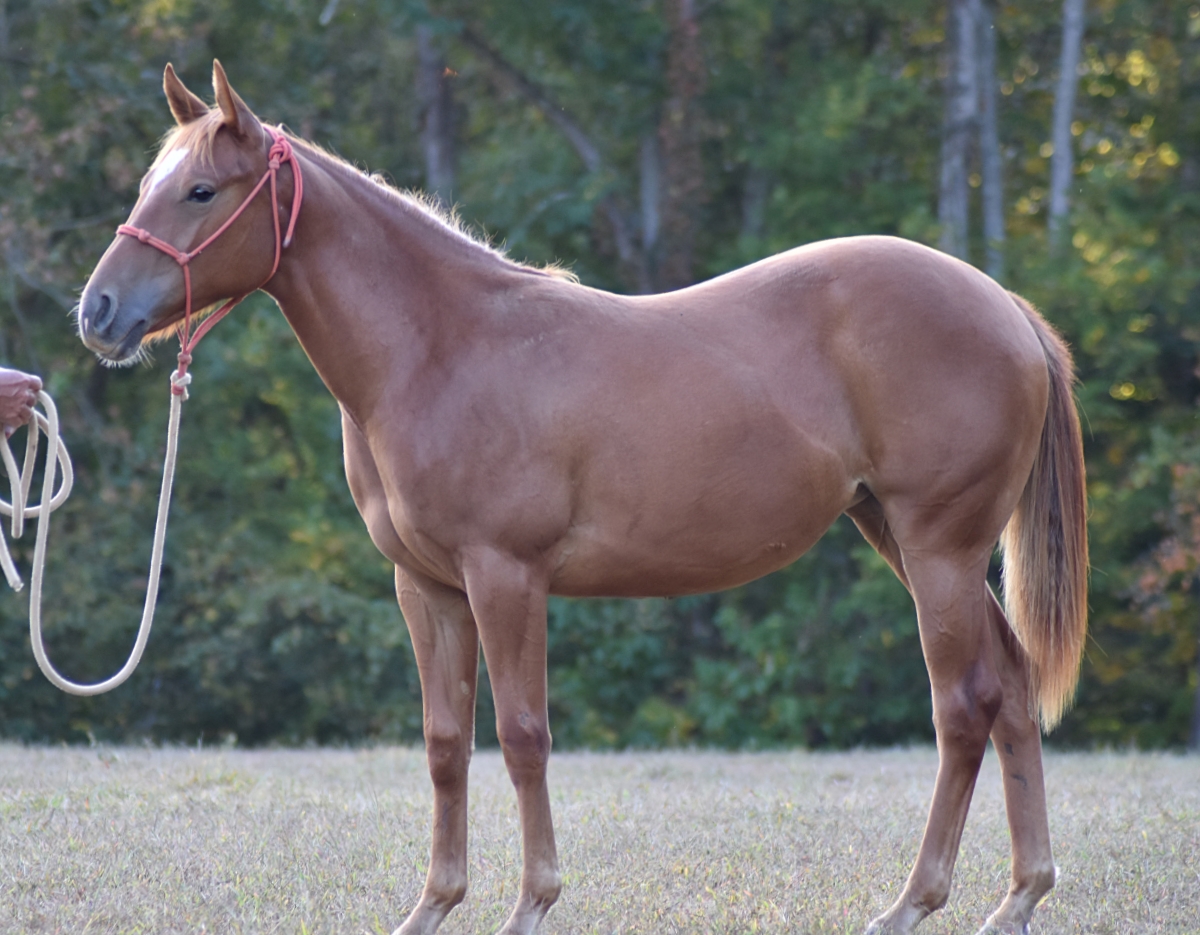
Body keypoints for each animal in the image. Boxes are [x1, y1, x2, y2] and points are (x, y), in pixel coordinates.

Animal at [76, 62, 1087, 935]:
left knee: (963, 705)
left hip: (938, 547)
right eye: (149, 182)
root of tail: (1004, 306)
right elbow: (446, 743)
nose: (98, 311)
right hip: (905, 537)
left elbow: (522, 735)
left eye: (202, 191)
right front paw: (433, 906)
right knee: (1010, 686)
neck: (439, 347)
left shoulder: (506, 576)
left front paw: (531, 904)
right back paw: (1020, 896)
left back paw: (912, 902)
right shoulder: (427, 587)